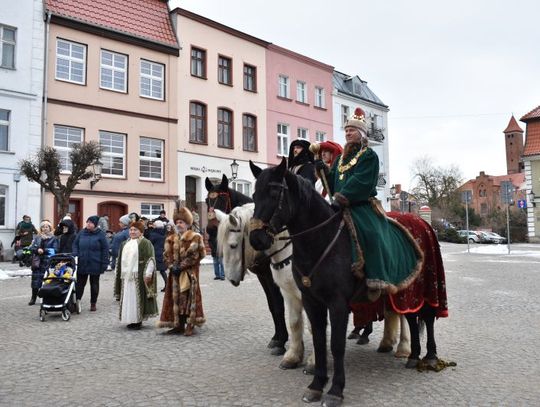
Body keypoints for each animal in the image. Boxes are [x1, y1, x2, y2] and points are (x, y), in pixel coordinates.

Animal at [205, 175, 288, 356]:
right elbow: (272, 305)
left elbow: (279, 304)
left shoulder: (274, 275)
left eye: (222, 198)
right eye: (207, 200)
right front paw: (277, 337)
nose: (211, 230)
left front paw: (282, 341)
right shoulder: (263, 275)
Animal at [249, 159, 448, 407]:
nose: (256, 239)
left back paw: (429, 356)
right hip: (404, 291)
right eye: (254, 194)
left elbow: (336, 344)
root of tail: (422, 222)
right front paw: (316, 385)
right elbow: (318, 339)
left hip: (424, 286)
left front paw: (335, 390)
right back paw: (412, 355)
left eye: (274, 192)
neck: (321, 239)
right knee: (411, 317)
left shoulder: (337, 303)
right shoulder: (310, 300)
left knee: (427, 317)